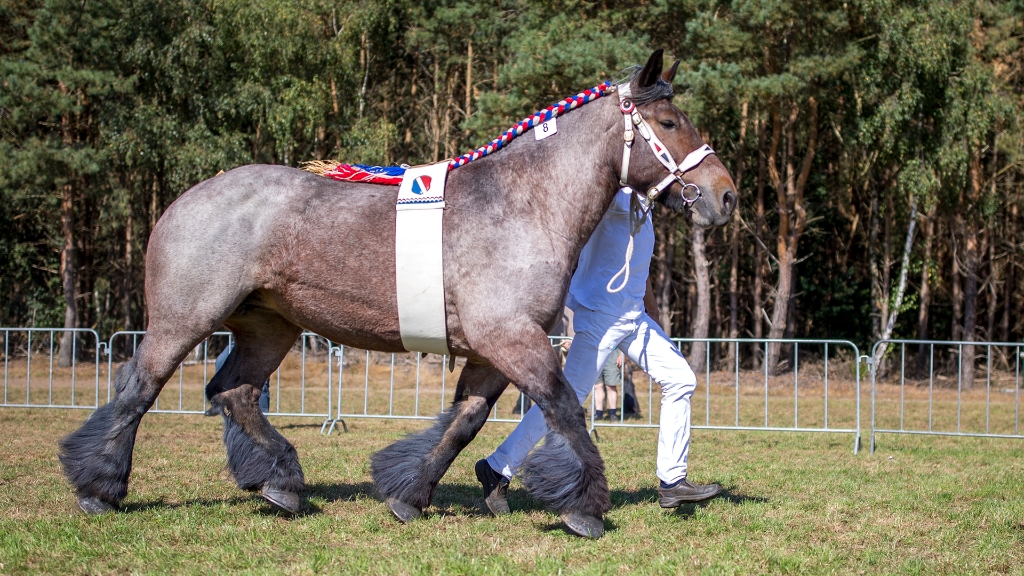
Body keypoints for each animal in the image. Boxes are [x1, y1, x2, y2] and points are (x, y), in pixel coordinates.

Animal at [58, 51, 737, 537]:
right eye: (669, 123)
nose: (725, 196)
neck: (523, 206)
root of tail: (186, 199)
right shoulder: (512, 339)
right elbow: (565, 410)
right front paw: (586, 508)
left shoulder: (490, 351)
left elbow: (464, 423)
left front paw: (409, 494)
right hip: (184, 319)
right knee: (140, 389)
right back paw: (99, 488)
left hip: (267, 326)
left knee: (234, 392)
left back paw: (281, 484)